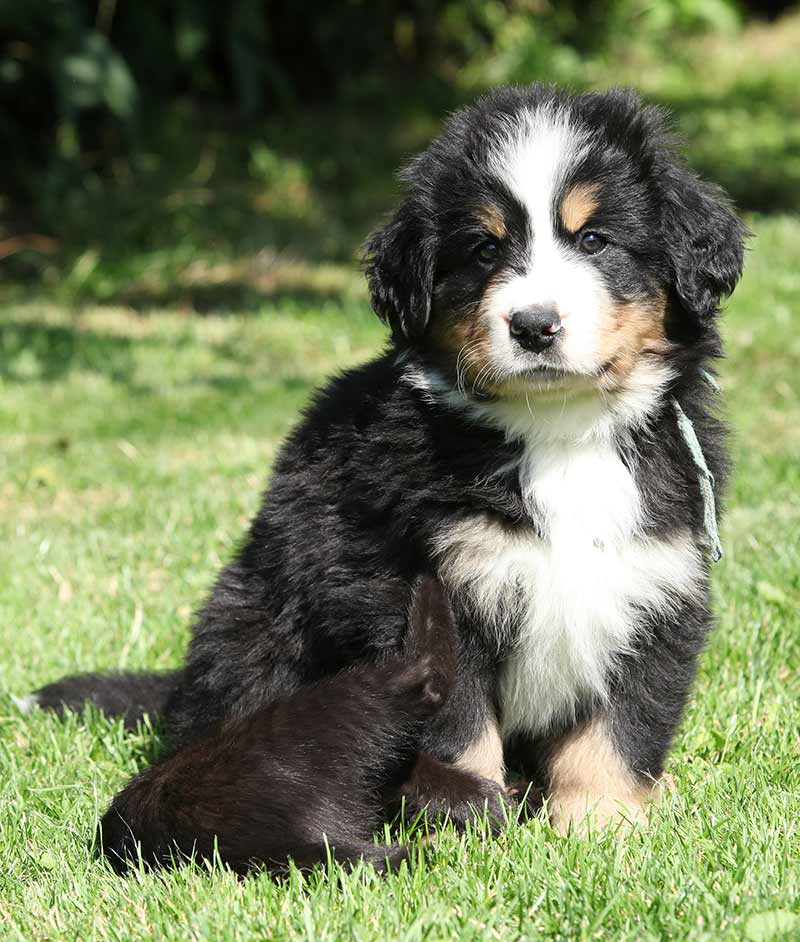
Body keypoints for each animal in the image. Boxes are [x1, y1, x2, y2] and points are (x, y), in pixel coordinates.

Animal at [31, 85, 744, 844]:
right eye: (483, 248)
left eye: (594, 241)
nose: (533, 325)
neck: (557, 431)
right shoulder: (418, 594)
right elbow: (459, 731)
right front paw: (469, 826)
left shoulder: (652, 588)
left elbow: (617, 733)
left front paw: (606, 833)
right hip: (251, 627)